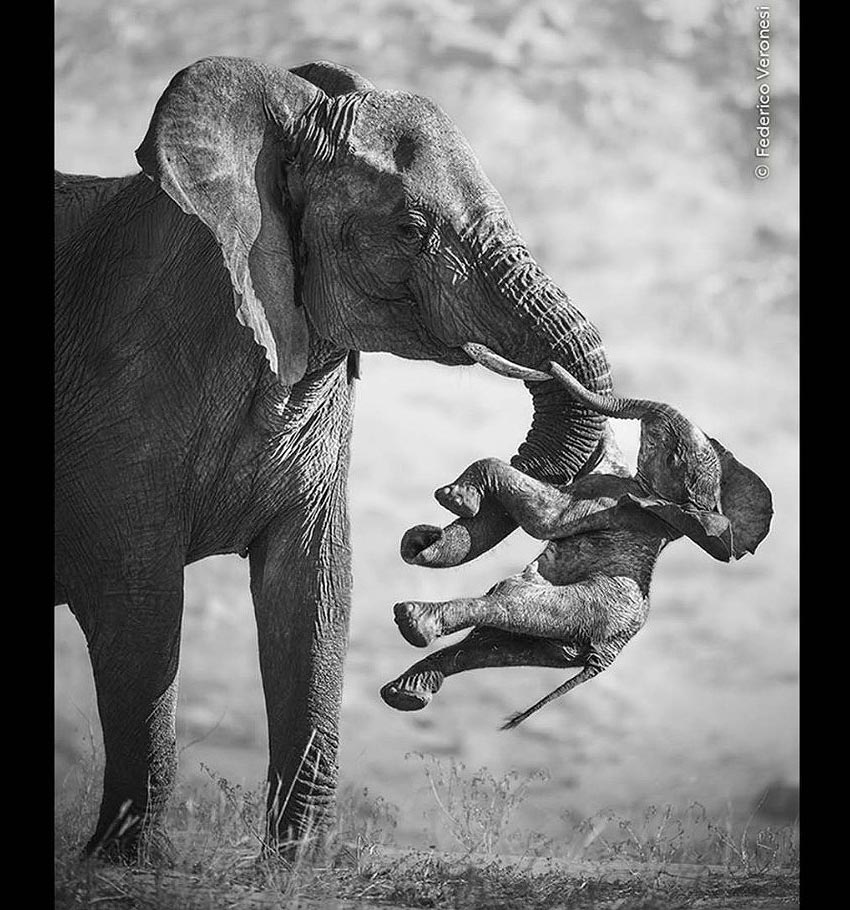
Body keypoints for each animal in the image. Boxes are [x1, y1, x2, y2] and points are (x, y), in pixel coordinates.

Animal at [54, 57, 614, 859]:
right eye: (410, 229)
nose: (430, 523)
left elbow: (314, 591)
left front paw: (297, 868)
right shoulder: (120, 393)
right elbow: (140, 606)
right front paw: (129, 865)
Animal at [381, 364, 773, 728]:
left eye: (673, 456)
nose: (549, 367)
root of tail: (606, 656)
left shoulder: (609, 501)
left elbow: (545, 518)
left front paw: (455, 500)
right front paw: (422, 537)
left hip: (587, 608)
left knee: (508, 604)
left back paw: (414, 622)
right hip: (563, 640)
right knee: (491, 644)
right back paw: (405, 692)